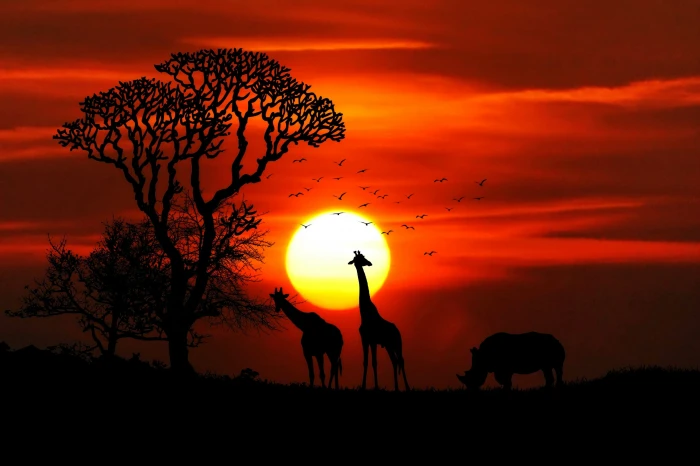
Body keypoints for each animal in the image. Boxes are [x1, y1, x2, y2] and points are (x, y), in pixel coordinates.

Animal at [348, 250, 410, 391]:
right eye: (360, 259)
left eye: (364, 257)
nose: (369, 263)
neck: (364, 313)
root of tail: (398, 330)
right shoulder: (366, 340)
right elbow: (366, 362)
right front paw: (363, 386)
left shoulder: (373, 341)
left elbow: (374, 363)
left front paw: (376, 386)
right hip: (388, 345)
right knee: (394, 361)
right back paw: (396, 387)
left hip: (397, 343)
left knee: (401, 360)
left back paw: (407, 387)